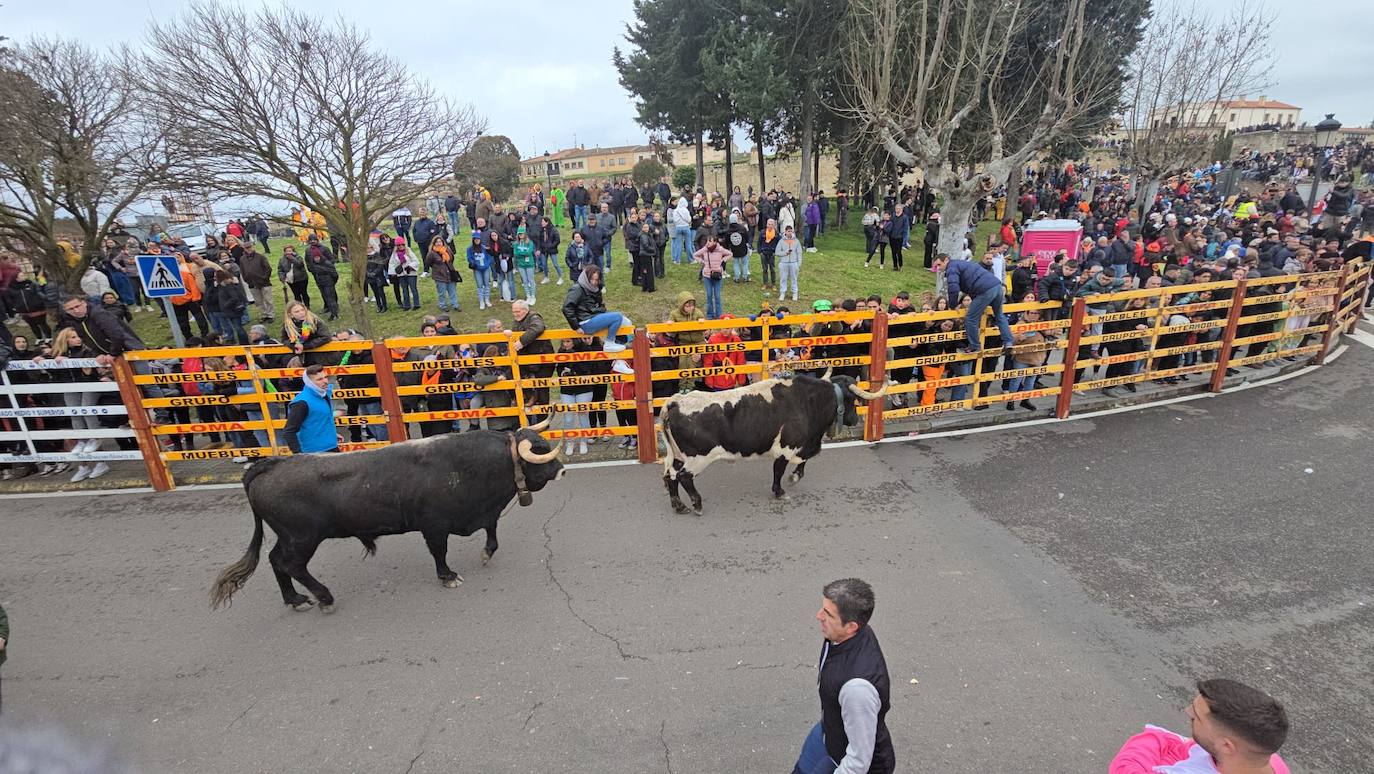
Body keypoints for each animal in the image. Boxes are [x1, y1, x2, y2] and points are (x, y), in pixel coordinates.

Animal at [210, 420, 563, 615]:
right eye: (539, 451)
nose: (560, 470)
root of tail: (268, 465)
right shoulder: (434, 526)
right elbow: (440, 552)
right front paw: (448, 576)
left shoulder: (482, 513)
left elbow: (492, 531)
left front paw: (487, 552)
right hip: (302, 539)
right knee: (291, 565)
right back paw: (324, 597)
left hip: (288, 538)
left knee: (274, 561)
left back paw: (295, 599)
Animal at [656, 371, 890, 514]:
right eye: (853, 400)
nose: (855, 420)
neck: (807, 401)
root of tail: (676, 401)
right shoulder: (788, 446)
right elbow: (780, 469)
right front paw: (780, 490)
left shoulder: (798, 446)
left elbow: (801, 462)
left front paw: (794, 477)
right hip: (697, 458)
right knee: (684, 477)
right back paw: (697, 504)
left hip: (677, 456)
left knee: (670, 475)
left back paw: (679, 506)